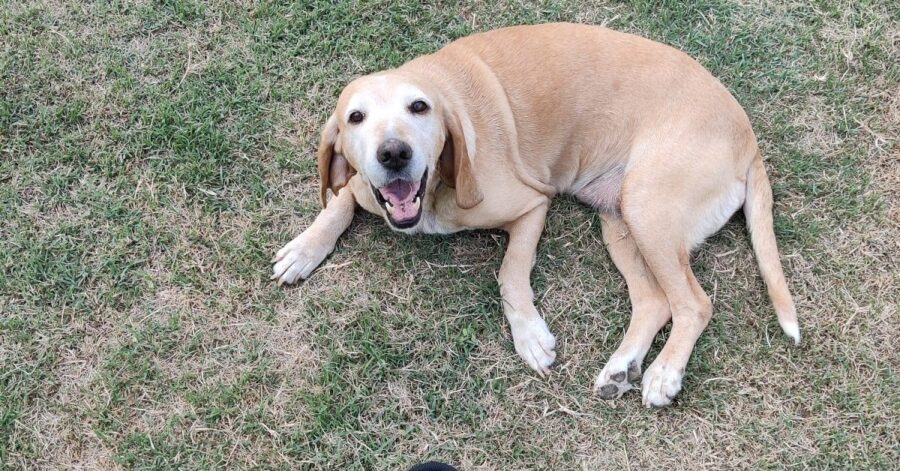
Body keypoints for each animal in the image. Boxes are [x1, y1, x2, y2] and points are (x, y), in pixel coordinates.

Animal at [270, 23, 800, 406]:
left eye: (418, 107)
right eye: (355, 118)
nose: (394, 154)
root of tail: (748, 139)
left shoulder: (532, 207)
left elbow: (510, 272)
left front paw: (529, 336)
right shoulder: (361, 186)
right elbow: (339, 200)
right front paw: (304, 248)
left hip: (648, 209)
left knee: (695, 303)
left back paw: (664, 373)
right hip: (621, 220)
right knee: (656, 301)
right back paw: (621, 368)